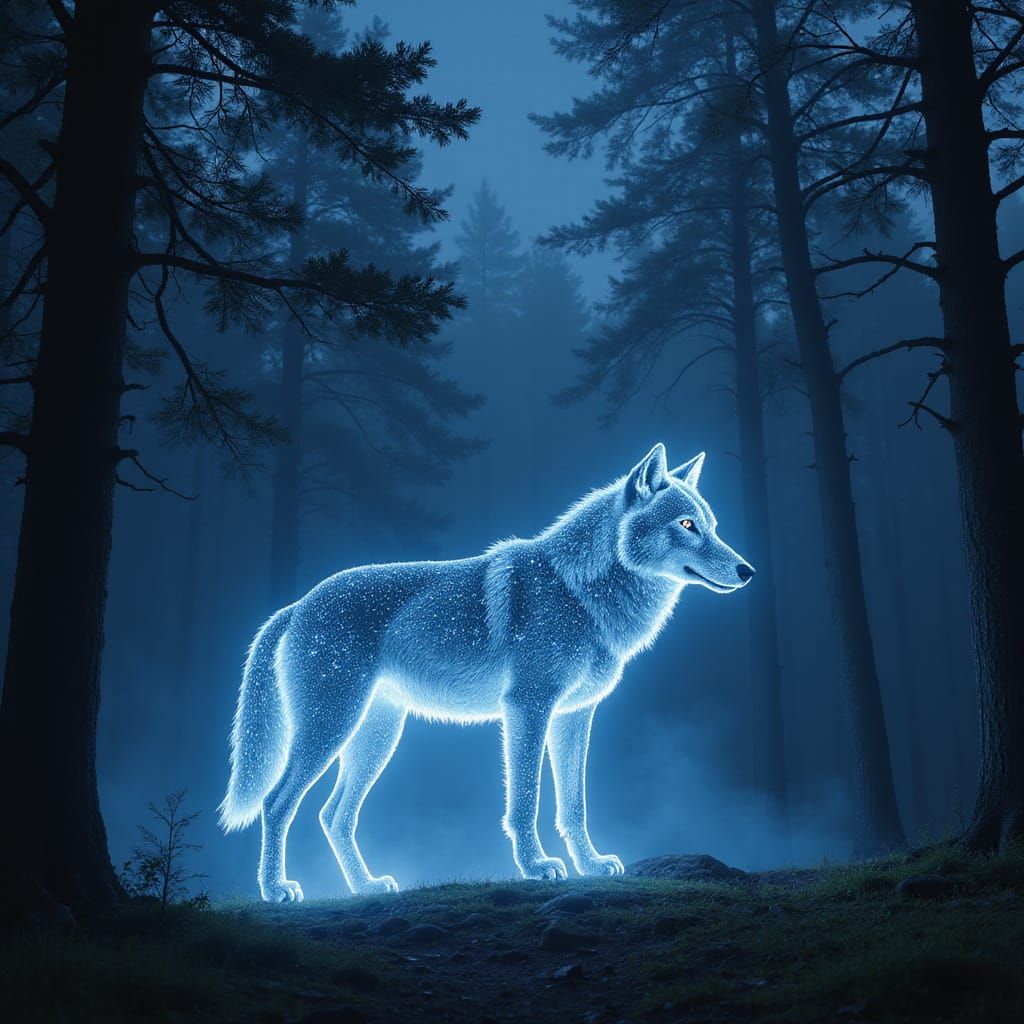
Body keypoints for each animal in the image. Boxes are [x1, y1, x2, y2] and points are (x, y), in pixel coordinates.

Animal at [220, 443, 753, 901]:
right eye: (687, 524)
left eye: (713, 525)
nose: (747, 571)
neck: (578, 592)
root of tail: (295, 606)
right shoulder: (527, 709)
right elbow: (525, 801)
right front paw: (537, 867)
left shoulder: (574, 716)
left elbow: (573, 806)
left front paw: (591, 865)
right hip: (333, 727)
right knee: (277, 802)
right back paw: (276, 891)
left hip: (376, 737)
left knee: (334, 816)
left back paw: (366, 888)